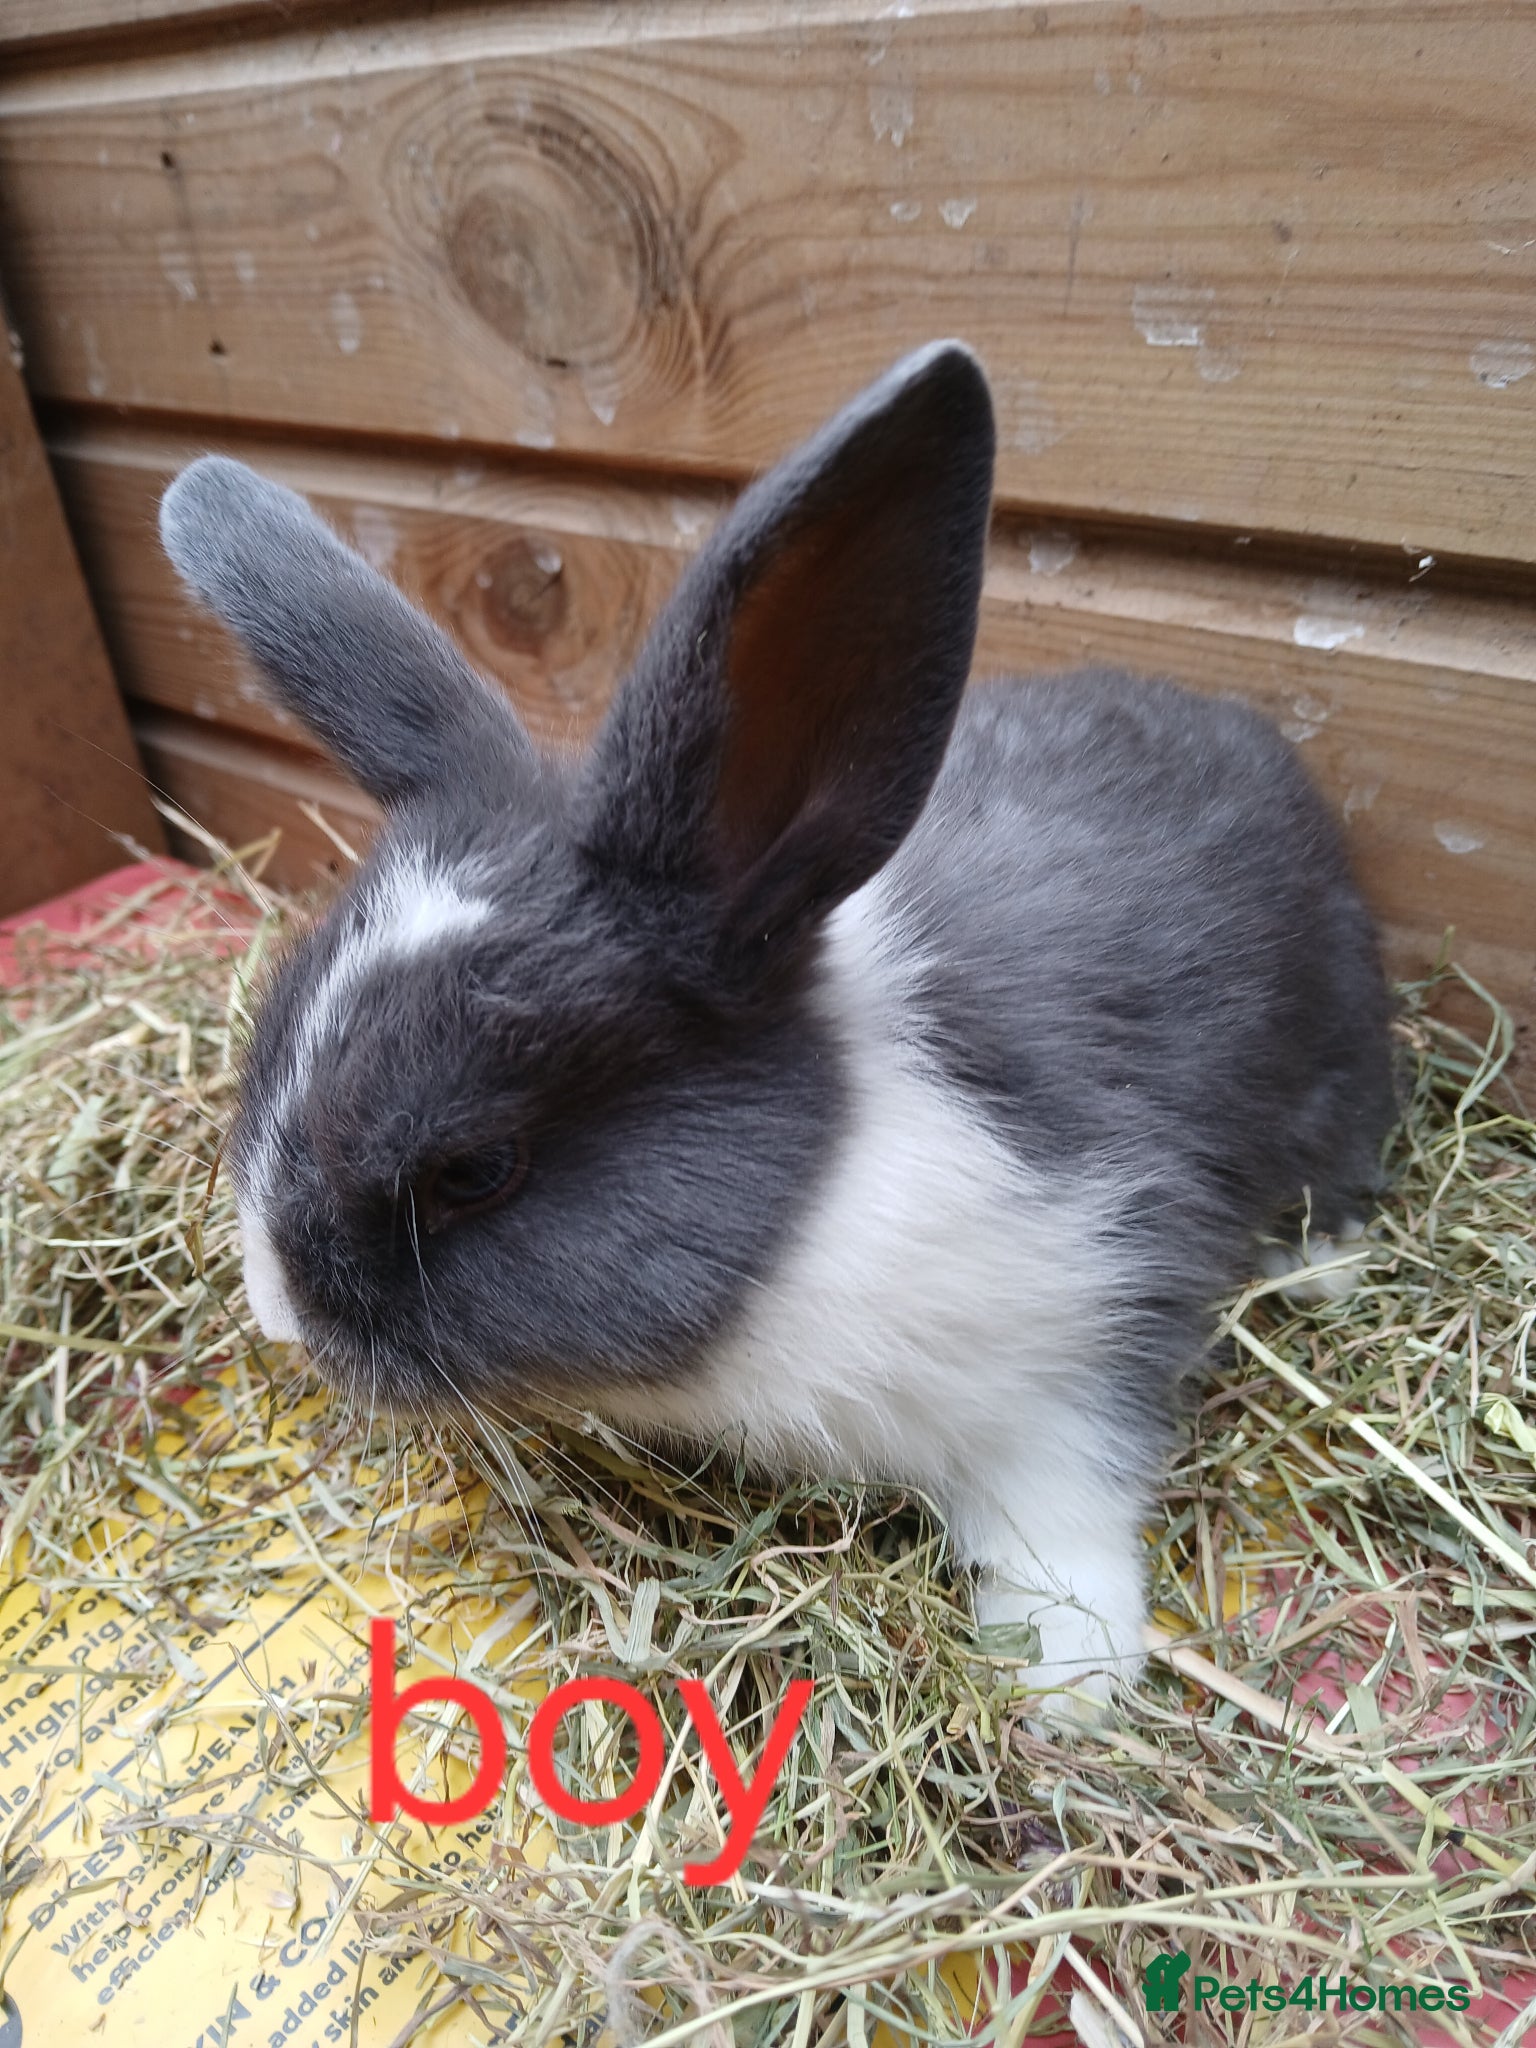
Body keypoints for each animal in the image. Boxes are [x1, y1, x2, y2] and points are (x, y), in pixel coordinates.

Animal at [160, 342, 1395, 1702]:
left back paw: (1323, 1264)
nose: (280, 1314)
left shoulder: (1085, 1327)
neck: (814, 1206)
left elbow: (1070, 1510)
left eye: (476, 1168)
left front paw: (1065, 1681)